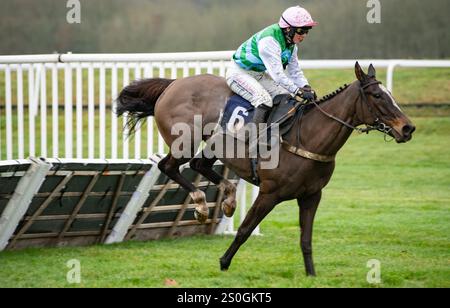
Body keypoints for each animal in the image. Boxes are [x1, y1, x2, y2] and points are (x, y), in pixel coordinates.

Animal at [116, 62, 414, 276]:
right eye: (377, 95)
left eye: (389, 94)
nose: (407, 128)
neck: (307, 136)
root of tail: (173, 84)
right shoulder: (270, 193)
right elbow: (245, 229)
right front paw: (224, 262)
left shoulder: (311, 196)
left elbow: (306, 239)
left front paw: (311, 274)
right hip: (184, 142)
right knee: (169, 166)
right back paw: (201, 204)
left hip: (213, 145)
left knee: (199, 165)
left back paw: (228, 197)